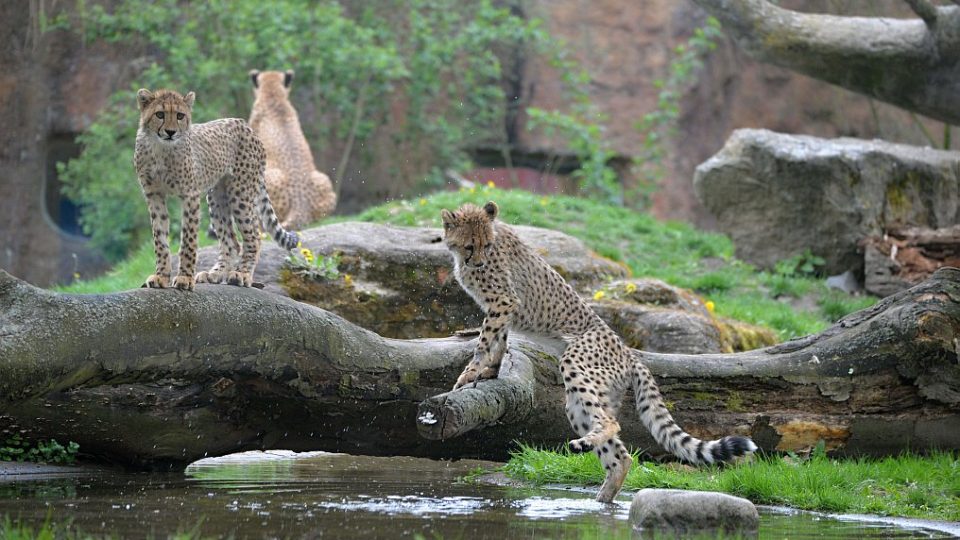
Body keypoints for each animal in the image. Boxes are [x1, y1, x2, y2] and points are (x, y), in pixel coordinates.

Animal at [131, 87, 296, 292]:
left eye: (180, 115)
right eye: (160, 114)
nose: (170, 132)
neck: (161, 148)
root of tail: (244, 124)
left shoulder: (190, 195)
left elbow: (188, 240)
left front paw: (185, 278)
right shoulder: (154, 195)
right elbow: (160, 239)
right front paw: (161, 276)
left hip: (240, 194)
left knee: (254, 236)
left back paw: (241, 274)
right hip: (217, 197)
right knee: (232, 242)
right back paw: (215, 274)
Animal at [442, 201, 756, 502]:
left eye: (487, 245)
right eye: (471, 245)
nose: (479, 263)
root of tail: (629, 352)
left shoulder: (504, 302)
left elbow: (485, 342)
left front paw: (468, 374)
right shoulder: (502, 308)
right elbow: (499, 342)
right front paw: (490, 372)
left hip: (576, 364)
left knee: (611, 423)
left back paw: (588, 456)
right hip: (585, 401)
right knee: (620, 454)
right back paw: (602, 495)